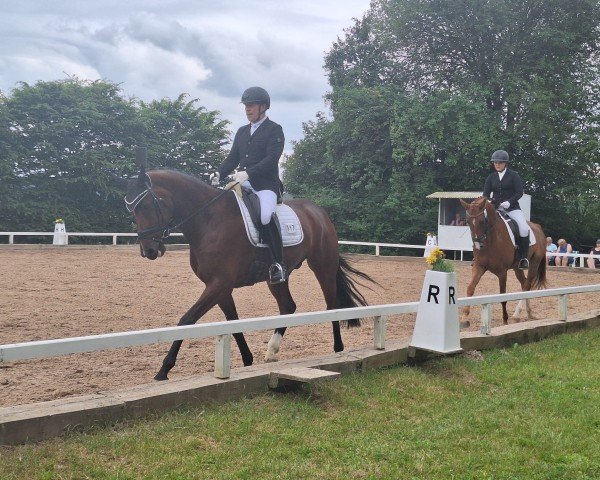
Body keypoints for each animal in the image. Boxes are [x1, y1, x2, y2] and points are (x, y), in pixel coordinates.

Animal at [124, 163, 372, 380]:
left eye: (146, 206)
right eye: (133, 210)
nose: (149, 251)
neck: (209, 220)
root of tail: (319, 211)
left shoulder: (218, 284)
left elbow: (187, 320)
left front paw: (163, 370)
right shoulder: (220, 288)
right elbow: (233, 322)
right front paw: (247, 360)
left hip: (323, 266)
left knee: (332, 306)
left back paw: (338, 349)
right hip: (277, 278)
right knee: (288, 306)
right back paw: (271, 351)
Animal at [460, 196, 548, 326]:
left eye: (482, 221)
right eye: (468, 222)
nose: (477, 245)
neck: (491, 239)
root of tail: (538, 228)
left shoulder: (502, 272)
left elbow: (502, 295)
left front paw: (505, 319)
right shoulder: (479, 266)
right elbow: (470, 288)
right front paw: (464, 317)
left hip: (534, 263)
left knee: (527, 285)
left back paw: (516, 314)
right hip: (517, 268)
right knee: (524, 284)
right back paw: (529, 313)